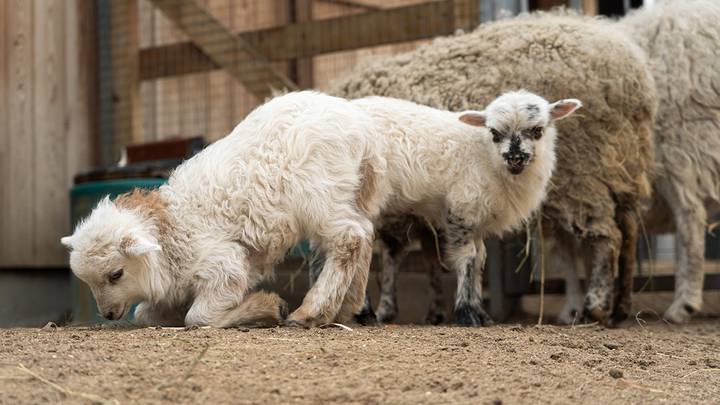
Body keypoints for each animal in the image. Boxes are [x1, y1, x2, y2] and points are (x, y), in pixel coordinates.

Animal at [61, 90, 388, 326]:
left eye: (116, 274)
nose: (108, 314)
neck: (172, 230)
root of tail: (361, 128)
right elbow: (144, 314)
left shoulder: (223, 263)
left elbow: (198, 317)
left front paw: (268, 308)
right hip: (350, 192)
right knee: (364, 232)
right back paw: (347, 307)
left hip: (318, 195)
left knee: (349, 237)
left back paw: (312, 311)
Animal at [310, 91, 584, 326]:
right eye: (495, 133)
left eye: (538, 130)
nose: (515, 158)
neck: (485, 154)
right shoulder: (461, 208)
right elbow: (467, 257)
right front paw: (467, 313)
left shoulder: (477, 219)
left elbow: (480, 258)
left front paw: (480, 312)